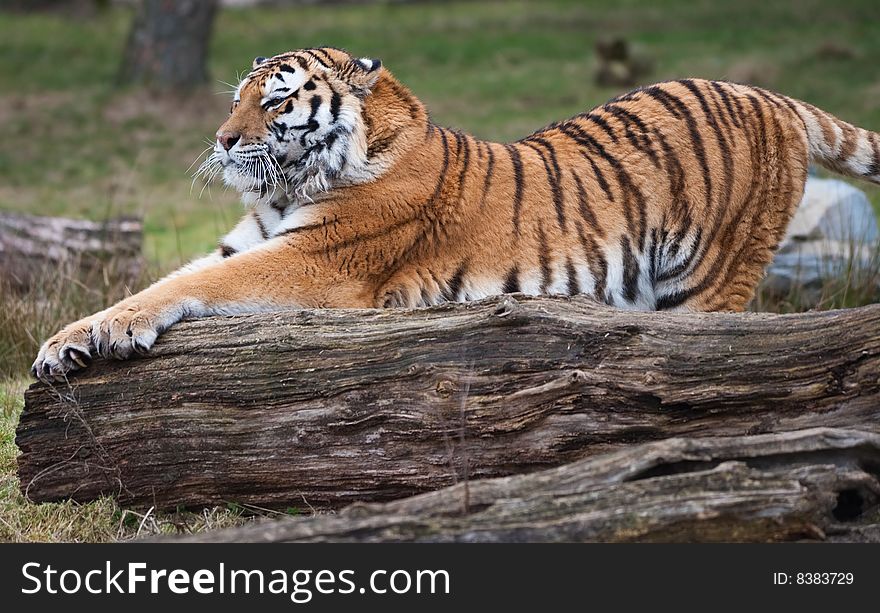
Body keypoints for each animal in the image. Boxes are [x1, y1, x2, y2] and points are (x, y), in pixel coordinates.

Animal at [31, 45, 880, 380]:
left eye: (271, 100)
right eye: (237, 95)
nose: (221, 139)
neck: (294, 181)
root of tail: (770, 96)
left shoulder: (318, 260)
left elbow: (179, 287)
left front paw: (106, 334)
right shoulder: (250, 242)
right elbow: (164, 279)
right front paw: (68, 340)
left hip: (710, 277)